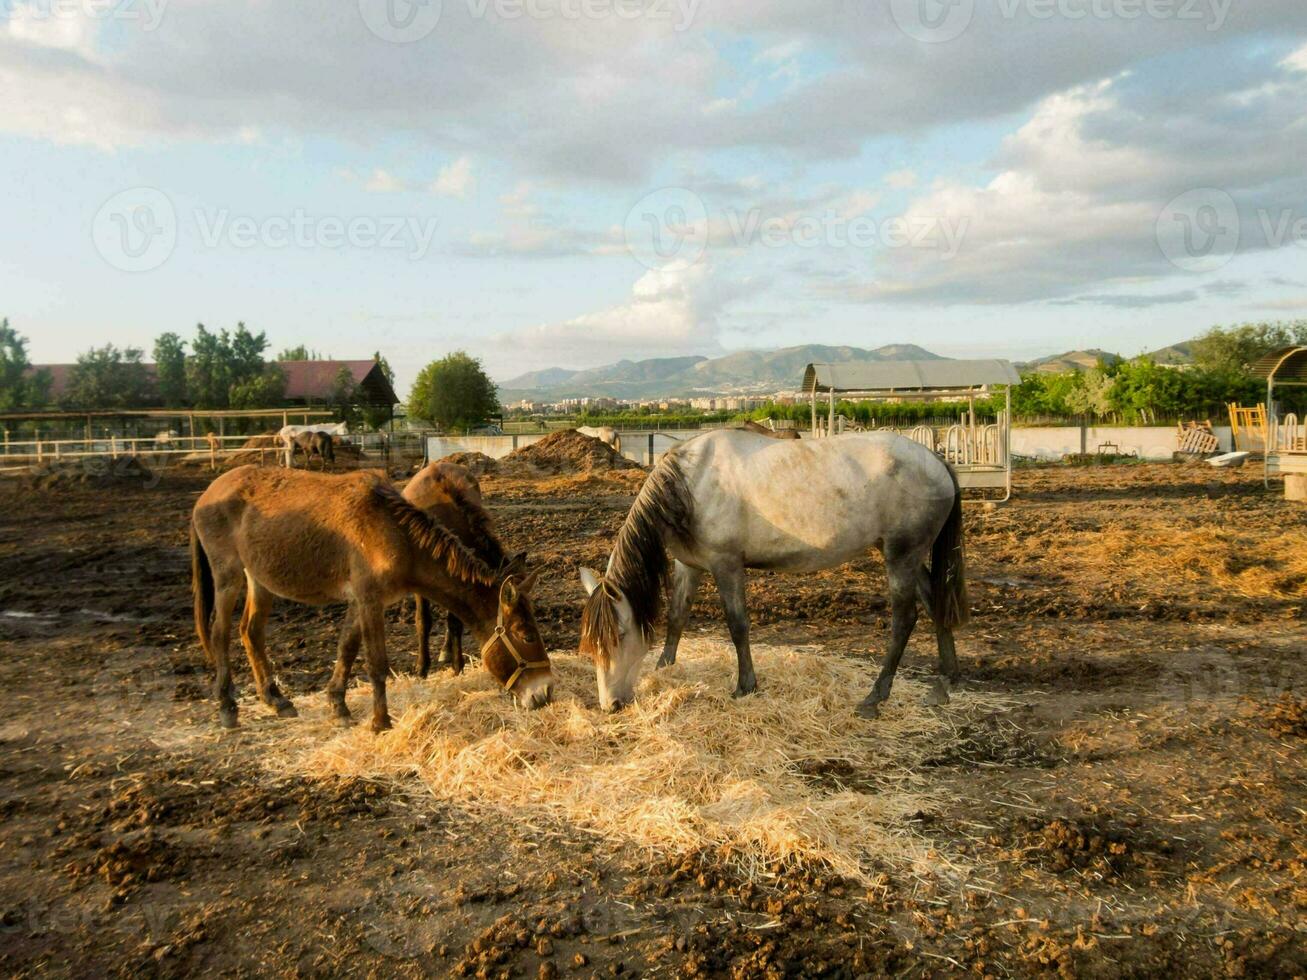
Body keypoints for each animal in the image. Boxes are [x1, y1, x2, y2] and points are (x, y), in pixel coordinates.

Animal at [190, 465, 551, 731]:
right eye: (526, 635)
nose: (545, 693)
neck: (397, 534)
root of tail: (208, 493)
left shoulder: (359, 600)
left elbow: (346, 649)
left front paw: (339, 706)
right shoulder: (369, 600)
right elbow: (377, 663)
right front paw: (380, 722)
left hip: (259, 579)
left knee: (250, 633)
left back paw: (276, 700)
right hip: (228, 577)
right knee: (220, 634)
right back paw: (227, 707)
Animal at [577, 433, 967, 716]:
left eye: (620, 635)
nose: (610, 705)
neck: (690, 484)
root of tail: (937, 461)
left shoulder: (726, 565)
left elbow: (738, 626)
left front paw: (745, 686)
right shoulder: (688, 565)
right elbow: (677, 618)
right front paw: (664, 668)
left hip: (901, 554)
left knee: (905, 618)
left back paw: (875, 697)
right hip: (908, 556)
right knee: (935, 604)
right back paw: (944, 682)